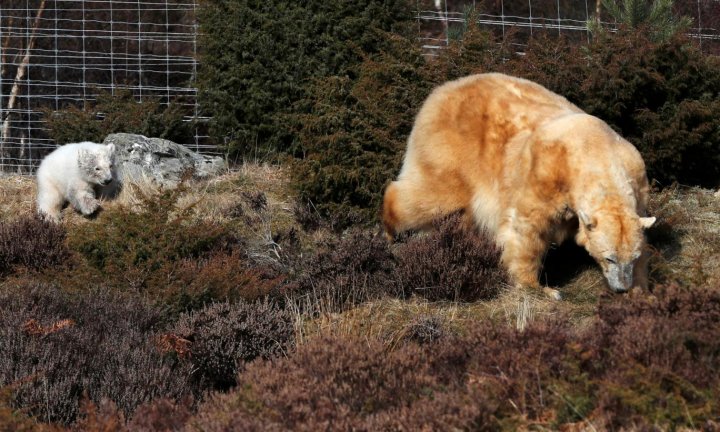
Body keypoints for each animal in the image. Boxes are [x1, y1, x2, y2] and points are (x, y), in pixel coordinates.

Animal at [386, 72, 656, 298]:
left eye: (632, 258)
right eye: (609, 258)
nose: (621, 288)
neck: (595, 150)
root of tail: (441, 91)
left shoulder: (638, 182)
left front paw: (641, 292)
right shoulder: (545, 172)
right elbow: (526, 228)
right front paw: (540, 289)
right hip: (453, 150)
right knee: (436, 196)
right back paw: (390, 229)